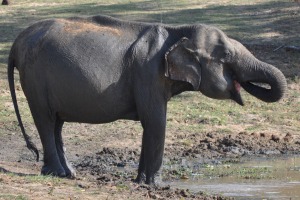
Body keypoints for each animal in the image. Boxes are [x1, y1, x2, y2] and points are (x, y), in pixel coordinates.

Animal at [8, 14, 288, 185]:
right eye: (227, 56)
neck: (178, 32)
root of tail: (16, 43)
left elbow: (151, 125)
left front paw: (141, 181)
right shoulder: (148, 75)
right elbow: (156, 122)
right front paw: (156, 184)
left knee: (56, 124)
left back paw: (69, 174)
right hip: (35, 78)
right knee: (45, 121)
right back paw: (56, 173)